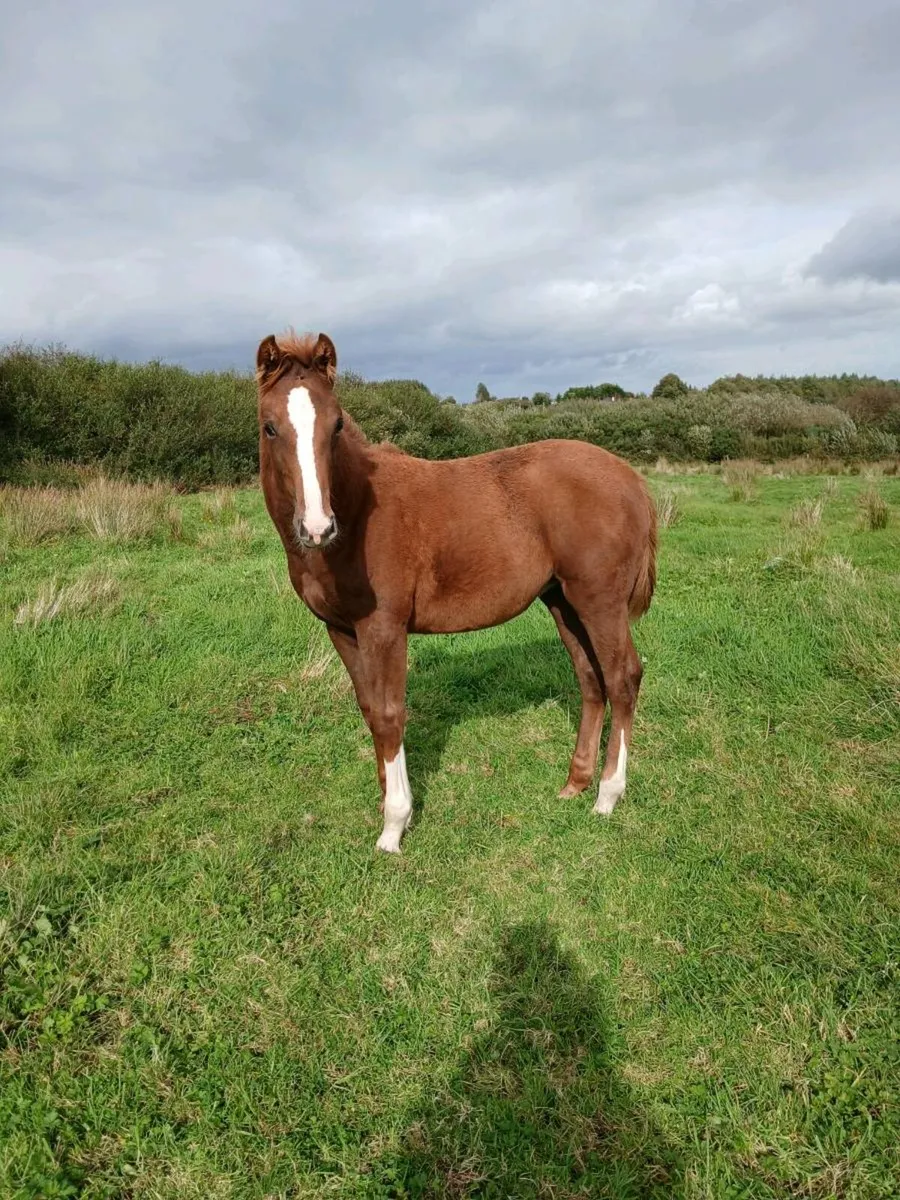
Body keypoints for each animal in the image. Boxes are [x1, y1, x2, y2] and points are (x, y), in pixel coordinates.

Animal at [256, 331, 657, 853]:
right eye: (269, 427)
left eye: (337, 424)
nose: (318, 527)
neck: (359, 511)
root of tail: (633, 479)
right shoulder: (340, 629)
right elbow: (369, 710)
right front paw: (386, 802)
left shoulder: (384, 628)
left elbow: (390, 713)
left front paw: (394, 826)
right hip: (563, 600)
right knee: (591, 680)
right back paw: (575, 783)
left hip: (600, 600)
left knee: (623, 677)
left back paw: (608, 795)